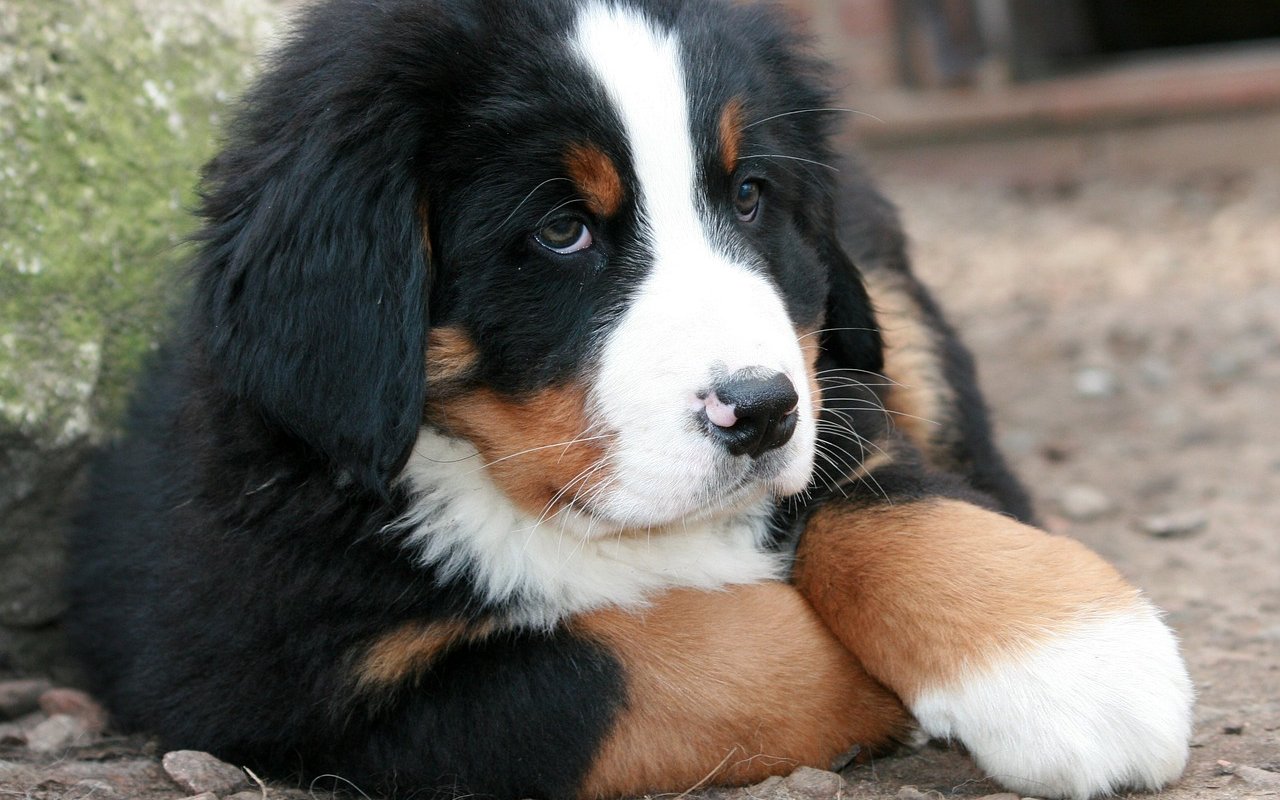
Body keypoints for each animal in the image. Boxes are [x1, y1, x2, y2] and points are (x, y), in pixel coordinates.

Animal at [67, 1, 1187, 798]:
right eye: (561, 230)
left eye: (749, 197)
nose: (760, 411)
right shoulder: (279, 672)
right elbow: (641, 666)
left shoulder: (835, 388)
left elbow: (887, 497)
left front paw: (1077, 657)